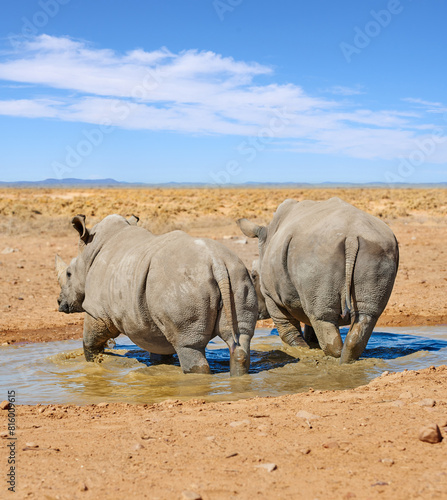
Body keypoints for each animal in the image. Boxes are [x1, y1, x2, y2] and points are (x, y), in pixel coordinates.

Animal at [56, 214, 260, 376]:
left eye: (68, 274)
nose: (59, 302)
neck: (87, 257)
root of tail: (216, 262)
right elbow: (160, 349)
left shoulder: (97, 311)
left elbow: (90, 341)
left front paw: (95, 363)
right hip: (237, 274)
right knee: (241, 338)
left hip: (181, 284)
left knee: (188, 345)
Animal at [238, 196, 400, 364]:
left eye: (254, 276)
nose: (257, 313)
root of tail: (351, 237)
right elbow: (311, 328)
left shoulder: (271, 295)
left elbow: (288, 330)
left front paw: (300, 351)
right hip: (378, 248)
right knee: (366, 314)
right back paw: (346, 362)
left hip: (317, 254)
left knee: (322, 318)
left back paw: (335, 360)